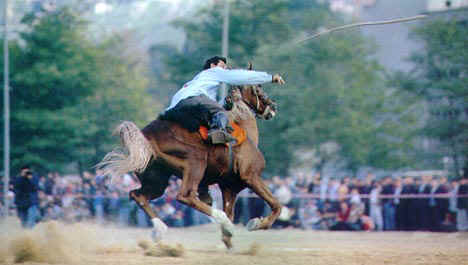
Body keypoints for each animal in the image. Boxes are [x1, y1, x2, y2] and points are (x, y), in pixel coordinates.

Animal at [98, 65, 282, 249]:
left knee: (138, 195)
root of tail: (145, 138)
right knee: (186, 196)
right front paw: (256, 223)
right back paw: (219, 218)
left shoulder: (229, 188)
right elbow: (276, 205)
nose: (273, 107)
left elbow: (231, 219)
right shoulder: (251, 176)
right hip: (196, 163)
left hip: (157, 180)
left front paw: (227, 239)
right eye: (258, 88)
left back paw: (160, 229)